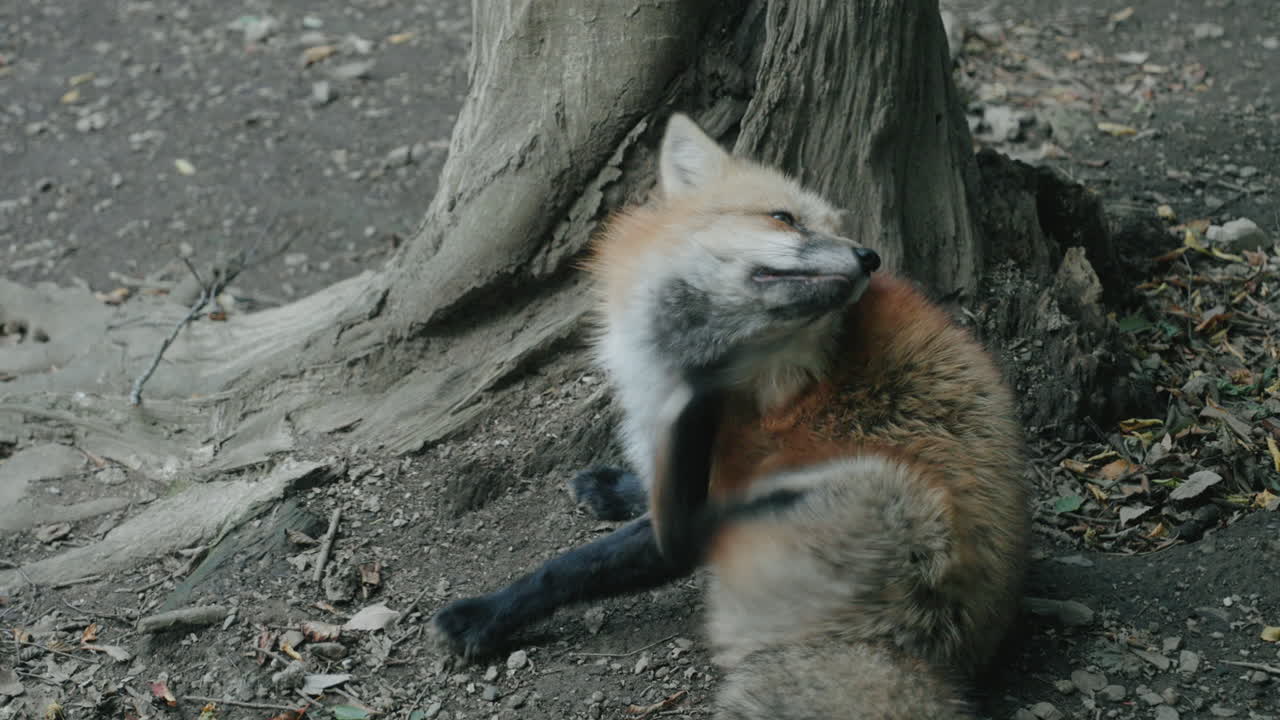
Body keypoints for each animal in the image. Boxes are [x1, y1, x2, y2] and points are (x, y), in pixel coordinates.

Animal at [430, 113, 1030, 717]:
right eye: (784, 218)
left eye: (838, 230)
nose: (869, 257)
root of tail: (940, 659)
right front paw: (615, 487)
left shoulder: (708, 490)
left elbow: (576, 565)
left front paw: (485, 615)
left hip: (871, 488)